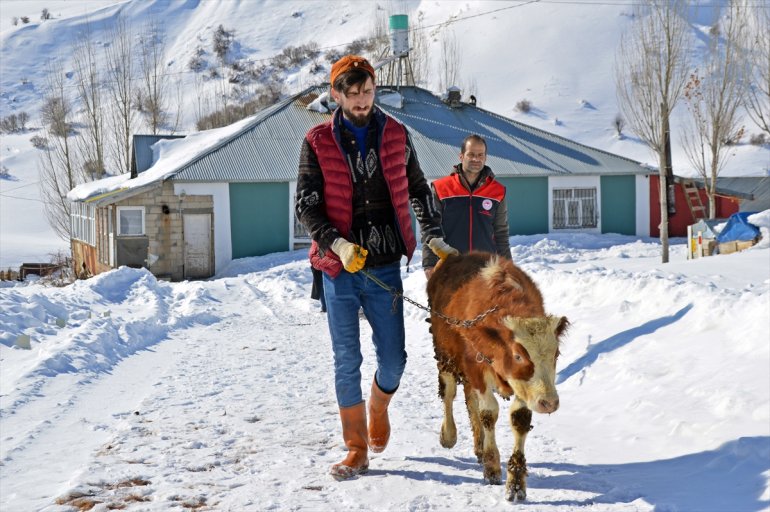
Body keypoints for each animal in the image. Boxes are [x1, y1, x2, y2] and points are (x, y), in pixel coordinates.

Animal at [426, 252, 564, 500]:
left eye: (556, 353)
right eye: (518, 355)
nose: (549, 402)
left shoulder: (523, 387)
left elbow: (519, 419)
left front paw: (516, 482)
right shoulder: (478, 370)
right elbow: (488, 413)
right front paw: (491, 467)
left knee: (470, 402)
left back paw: (479, 445)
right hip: (446, 357)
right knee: (449, 394)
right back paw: (449, 434)